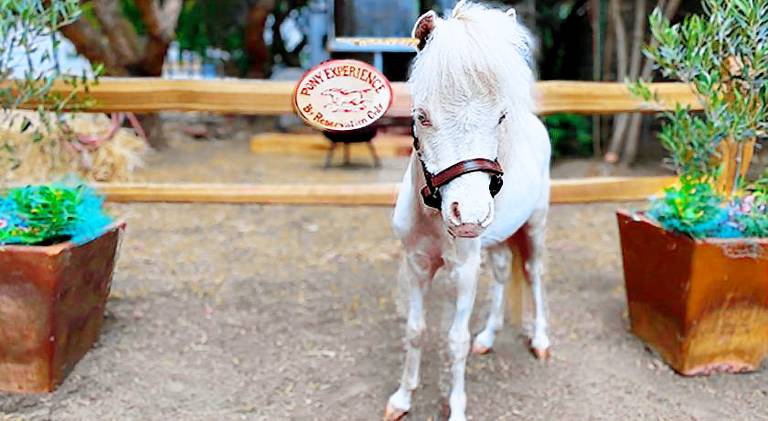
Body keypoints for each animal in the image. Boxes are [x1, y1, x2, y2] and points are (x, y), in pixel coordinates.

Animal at [385, 2, 551, 420]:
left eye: (500, 117)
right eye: (422, 115)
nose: (469, 216)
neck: (433, 219)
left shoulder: (463, 273)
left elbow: (455, 341)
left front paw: (456, 407)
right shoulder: (417, 264)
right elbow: (415, 331)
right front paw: (402, 398)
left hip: (535, 226)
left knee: (534, 274)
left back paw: (541, 340)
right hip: (498, 239)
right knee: (504, 272)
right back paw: (488, 337)